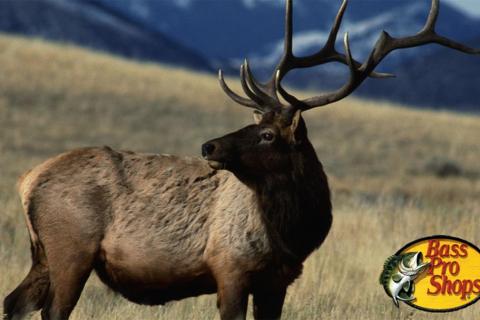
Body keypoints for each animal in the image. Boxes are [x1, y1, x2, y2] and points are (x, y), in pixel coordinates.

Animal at [3, 0, 480, 320]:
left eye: (267, 134)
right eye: (254, 126)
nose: (208, 147)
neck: (293, 234)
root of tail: (27, 179)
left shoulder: (279, 279)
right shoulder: (229, 266)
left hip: (44, 253)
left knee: (14, 302)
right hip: (71, 247)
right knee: (51, 311)